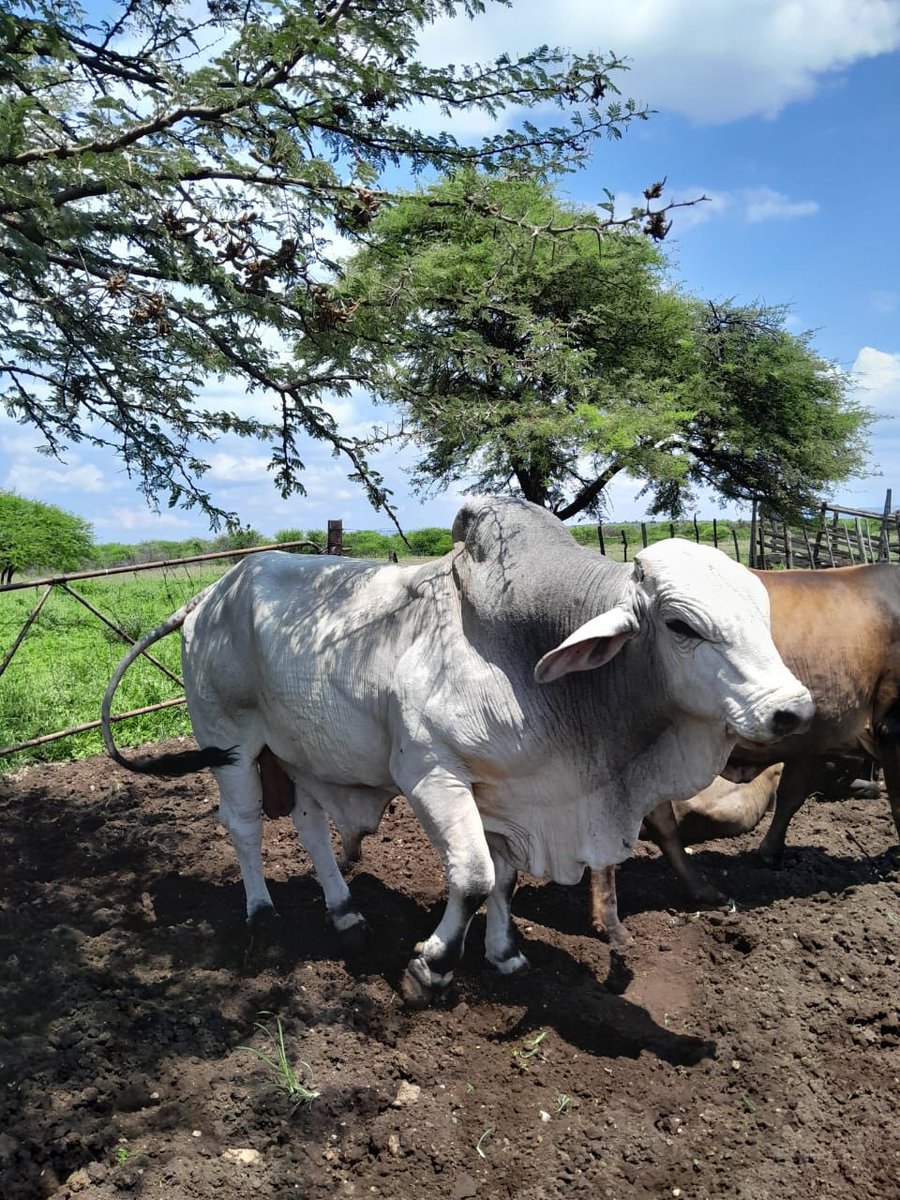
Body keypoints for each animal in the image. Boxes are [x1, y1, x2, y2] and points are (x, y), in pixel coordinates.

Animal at [101, 497, 812, 1005]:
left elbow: (504, 875)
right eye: (681, 625)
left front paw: (505, 954)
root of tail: (212, 591)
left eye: (762, 610)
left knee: (308, 823)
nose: (794, 709)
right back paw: (261, 911)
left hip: (303, 751)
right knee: (245, 825)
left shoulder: (506, 791)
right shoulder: (432, 774)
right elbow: (471, 876)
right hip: (229, 740)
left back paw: (344, 910)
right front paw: (431, 966)